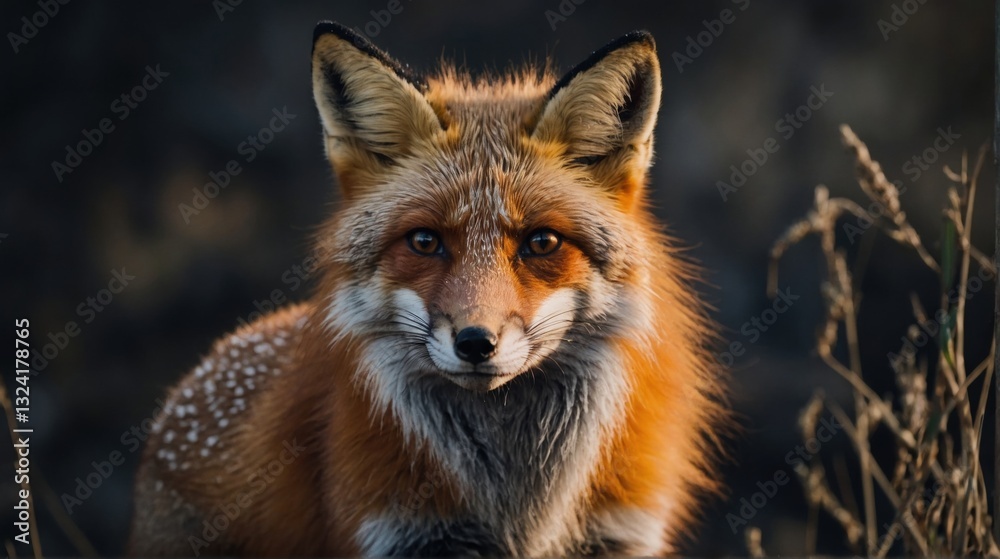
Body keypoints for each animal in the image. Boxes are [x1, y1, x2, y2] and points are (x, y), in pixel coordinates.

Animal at [128, 21, 728, 556]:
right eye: (425, 241)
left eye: (541, 242)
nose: (476, 342)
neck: (519, 506)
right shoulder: (402, 534)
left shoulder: (618, 532)